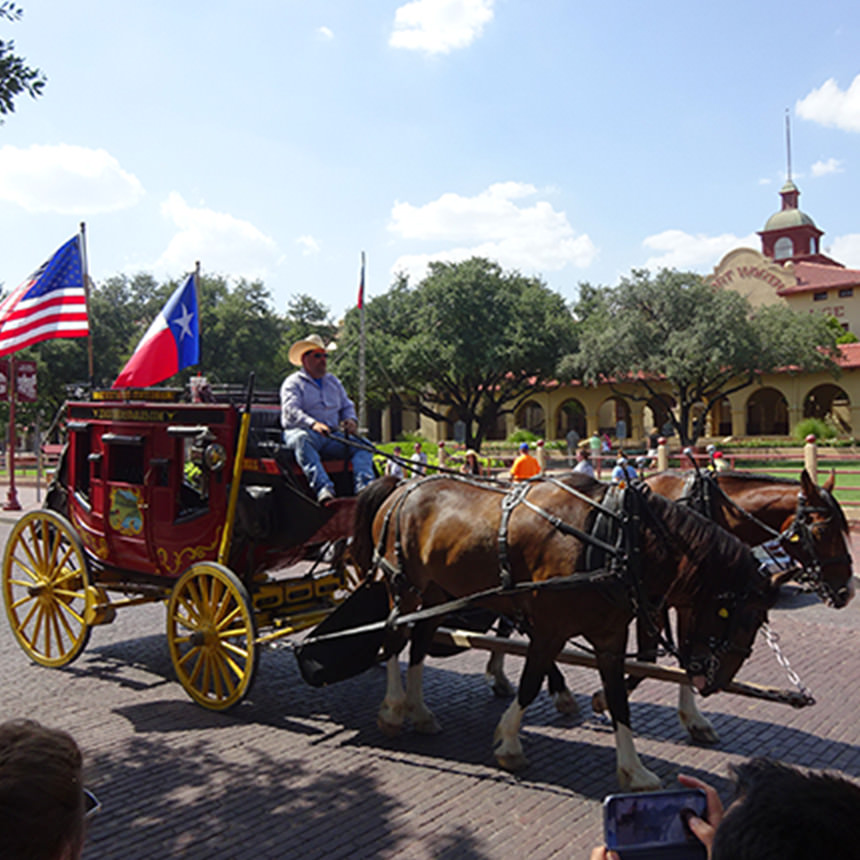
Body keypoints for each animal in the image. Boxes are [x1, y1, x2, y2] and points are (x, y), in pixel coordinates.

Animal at [352, 474, 784, 788]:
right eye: (747, 618)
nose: (717, 681)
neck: (614, 541)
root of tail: (401, 486)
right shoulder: (550, 629)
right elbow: (530, 683)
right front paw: (509, 743)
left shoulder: (610, 638)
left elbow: (619, 699)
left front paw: (633, 769)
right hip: (405, 587)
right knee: (394, 638)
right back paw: (393, 709)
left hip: (437, 592)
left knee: (420, 641)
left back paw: (420, 710)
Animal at [488, 466, 856, 744]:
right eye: (822, 532)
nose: (847, 591)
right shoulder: (662, 602)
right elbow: (653, 658)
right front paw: (606, 699)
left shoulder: (690, 601)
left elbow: (686, 657)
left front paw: (693, 718)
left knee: (515, 621)